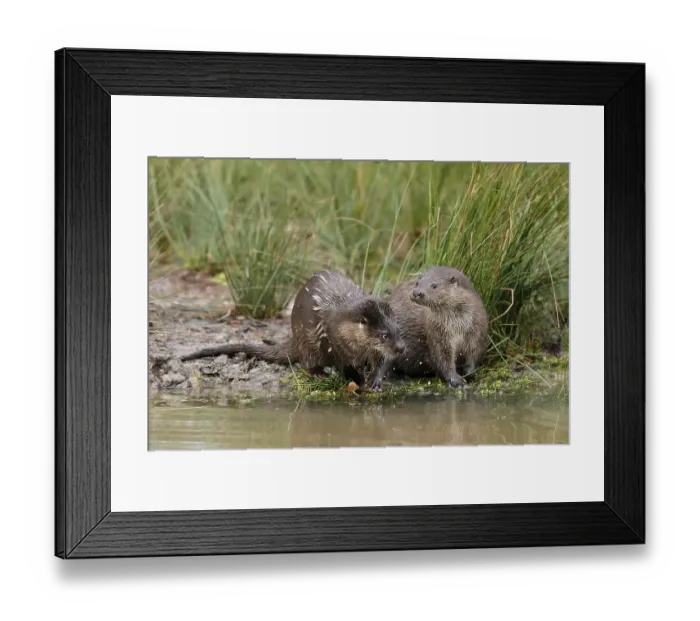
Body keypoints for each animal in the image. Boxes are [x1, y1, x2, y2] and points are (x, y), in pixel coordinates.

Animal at [181, 270, 405, 391]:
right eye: (384, 335)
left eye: (397, 330)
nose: (401, 348)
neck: (342, 325)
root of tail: (294, 338)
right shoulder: (332, 339)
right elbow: (342, 363)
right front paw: (356, 378)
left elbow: (383, 361)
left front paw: (374, 380)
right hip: (306, 342)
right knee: (307, 361)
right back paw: (319, 374)